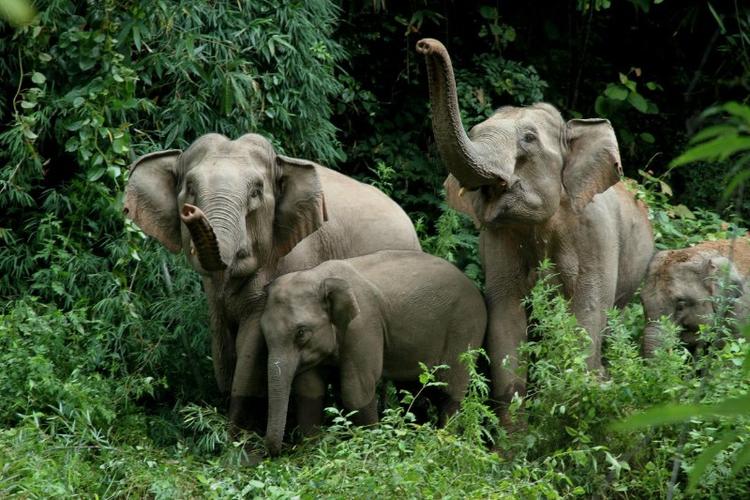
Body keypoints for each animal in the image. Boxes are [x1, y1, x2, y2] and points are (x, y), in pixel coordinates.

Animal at [123, 133, 421, 435]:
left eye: (256, 192)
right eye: (190, 188)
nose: (189, 212)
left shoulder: (297, 258)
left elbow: (250, 347)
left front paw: (237, 439)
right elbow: (222, 347)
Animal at [260, 250, 487, 456]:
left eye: (301, 333)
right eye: (263, 334)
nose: (275, 453)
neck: (319, 276)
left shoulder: (363, 327)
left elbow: (356, 390)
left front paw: (369, 448)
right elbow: (309, 389)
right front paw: (312, 452)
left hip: (466, 327)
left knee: (450, 389)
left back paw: (444, 441)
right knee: (411, 391)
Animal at [416, 38, 654, 421]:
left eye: (528, 138)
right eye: (475, 132)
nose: (423, 44)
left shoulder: (596, 233)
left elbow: (588, 311)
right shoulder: (497, 241)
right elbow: (505, 318)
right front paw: (514, 436)